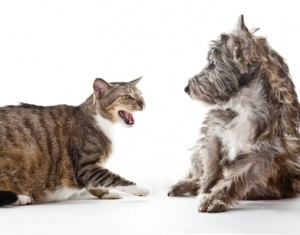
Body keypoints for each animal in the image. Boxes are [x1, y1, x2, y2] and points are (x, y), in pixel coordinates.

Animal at [0, 77, 149, 206]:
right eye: (126, 97)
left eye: (141, 95)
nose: (143, 103)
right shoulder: (85, 167)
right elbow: (113, 178)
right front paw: (141, 188)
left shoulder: (90, 171)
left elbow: (95, 184)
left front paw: (108, 193)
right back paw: (21, 198)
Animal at [168, 15, 300, 213]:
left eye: (213, 64)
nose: (186, 88)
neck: (244, 102)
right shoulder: (212, 134)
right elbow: (211, 170)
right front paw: (206, 191)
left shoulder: (263, 153)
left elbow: (234, 179)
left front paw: (214, 199)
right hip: (197, 151)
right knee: (198, 173)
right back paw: (183, 185)